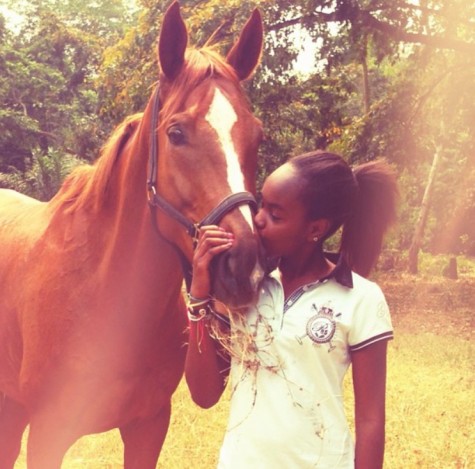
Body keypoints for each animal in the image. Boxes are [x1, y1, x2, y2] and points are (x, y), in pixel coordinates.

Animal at [0, 2, 266, 464]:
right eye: (176, 133)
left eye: (256, 136)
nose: (242, 267)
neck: (101, 293)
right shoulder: (48, 434)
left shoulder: (148, 426)